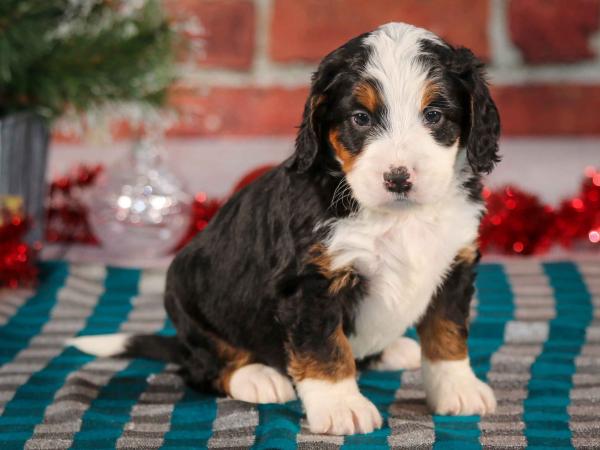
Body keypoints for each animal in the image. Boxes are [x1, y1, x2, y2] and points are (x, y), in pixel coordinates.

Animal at [71, 22, 502, 436]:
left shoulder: (455, 263)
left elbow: (447, 332)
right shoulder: (310, 281)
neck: (397, 215)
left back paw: (393, 350)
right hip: (184, 299)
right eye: (360, 118)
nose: (398, 178)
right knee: (202, 366)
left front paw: (458, 389)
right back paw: (256, 376)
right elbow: (325, 347)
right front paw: (342, 407)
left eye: (434, 115)